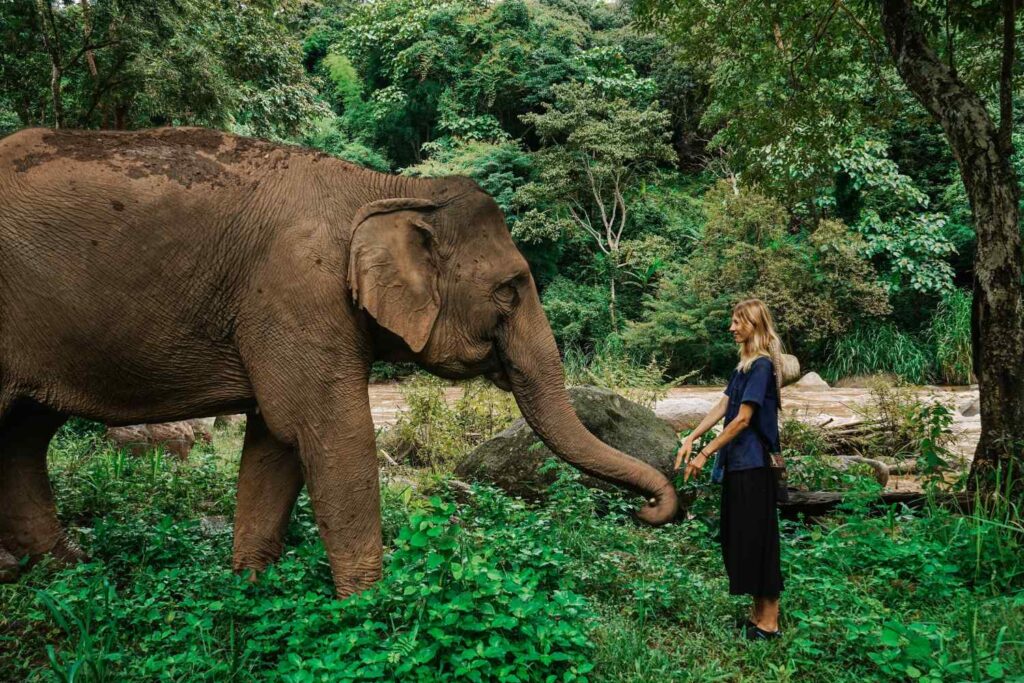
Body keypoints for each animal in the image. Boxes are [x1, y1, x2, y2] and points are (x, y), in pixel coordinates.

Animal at [2, 127, 679, 598]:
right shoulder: (297, 290)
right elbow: (329, 430)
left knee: (25, 435)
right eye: (511, 290)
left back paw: (66, 571)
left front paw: (252, 589)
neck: (388, 187)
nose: (647, 511)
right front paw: (372, 607)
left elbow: (275, 443)